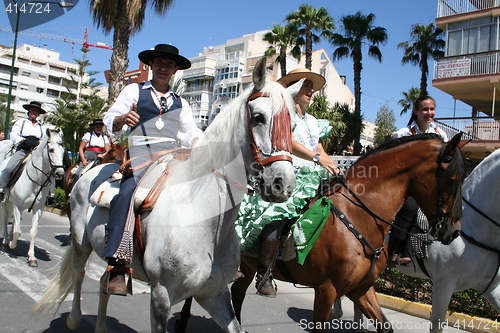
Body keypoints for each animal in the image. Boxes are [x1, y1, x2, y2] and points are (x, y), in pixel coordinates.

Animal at [0, 128, 65, 266]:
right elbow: (18, 231)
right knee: (5, 219)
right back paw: (6, 240)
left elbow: (33, 232)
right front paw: (12, 244)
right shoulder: (18, 206)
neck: (35, 180)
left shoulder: (38, 209)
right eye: (51, 150)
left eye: (63, 151)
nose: (60, 173)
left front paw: (32, 257)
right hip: (4, 202)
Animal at [33, 58, 300, 332]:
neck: (204, 218)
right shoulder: (161, 295)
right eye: (258, 117)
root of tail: (91, 171)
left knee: (102, 284)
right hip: (80, 242)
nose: (282, 184)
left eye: (293, 126)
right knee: (79, 275)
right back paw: (74, 318)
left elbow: (234, 326)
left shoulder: (214, 296)